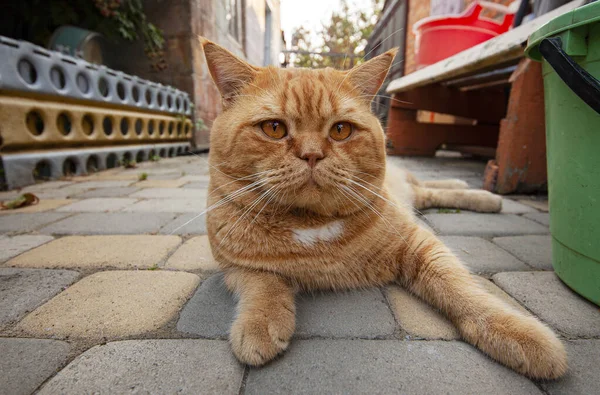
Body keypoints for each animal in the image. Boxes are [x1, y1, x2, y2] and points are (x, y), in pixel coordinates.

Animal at [202, 38, 568, 380]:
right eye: (274, 128)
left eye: (341, 130)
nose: (312, 154)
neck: (311, 226)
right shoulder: (235, 267)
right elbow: (264, 284)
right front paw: (260, 324)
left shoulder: (421, 245)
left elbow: (460, 288)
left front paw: (518, 333)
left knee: (429, 188)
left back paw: (480, 193)